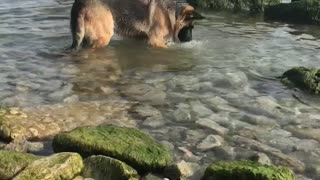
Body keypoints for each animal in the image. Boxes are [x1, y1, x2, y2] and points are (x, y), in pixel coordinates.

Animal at [70, 0, 205, 50]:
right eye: (189, 28)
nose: (190, 40)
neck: (172, 12)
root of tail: (80, 2)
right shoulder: (156, 41)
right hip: (103, 36)